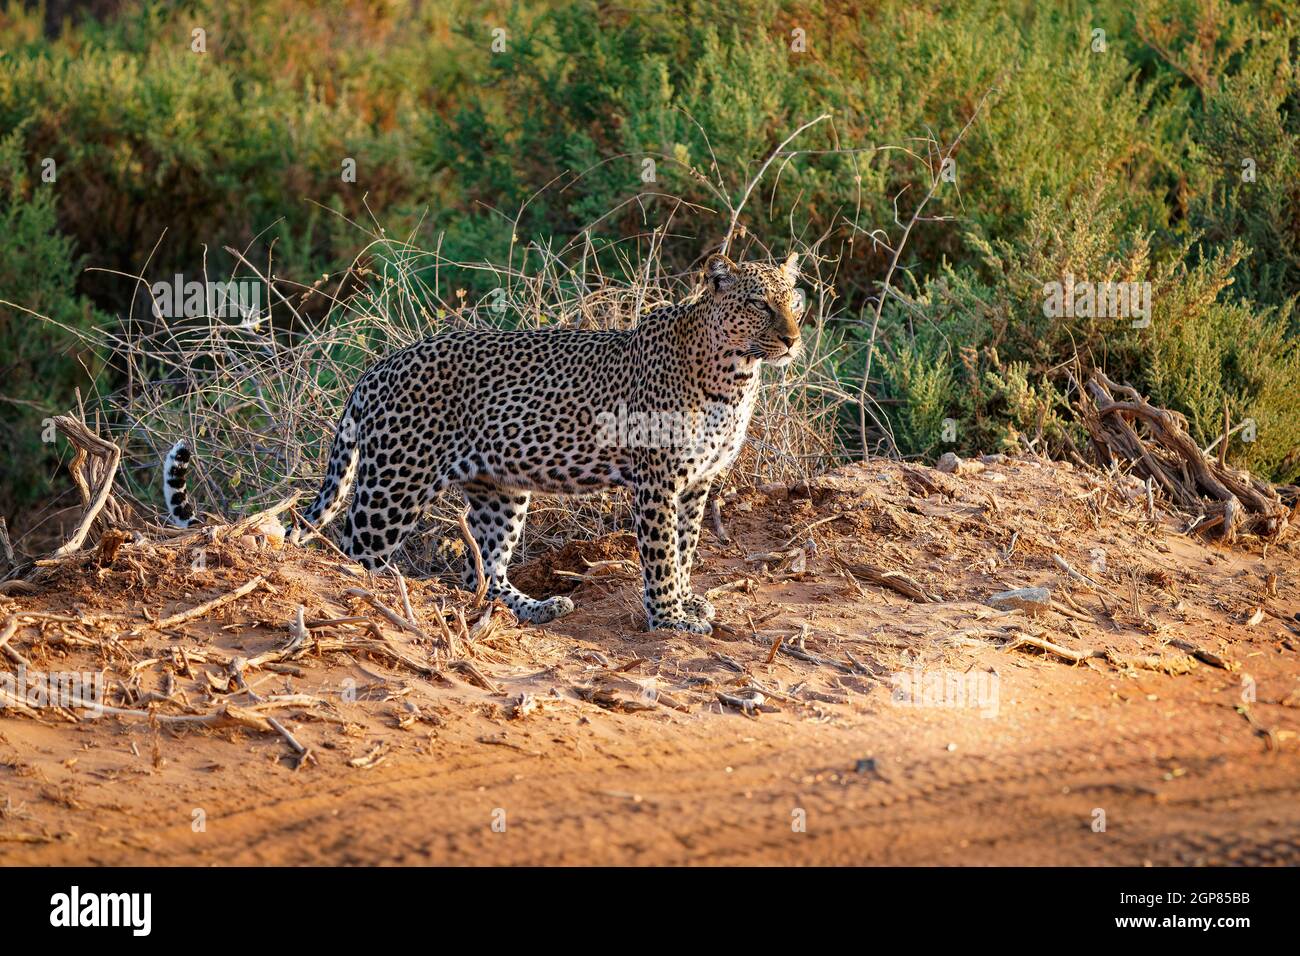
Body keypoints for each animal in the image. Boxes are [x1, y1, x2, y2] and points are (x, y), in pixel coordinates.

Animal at [170, 252, 800, 634]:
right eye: (757, 303)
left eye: (795, 299)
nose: (794, 338)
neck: (735, 376)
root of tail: (377, 366)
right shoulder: (657, 480)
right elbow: (663, 555)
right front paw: (670, 618)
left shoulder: (696, 482)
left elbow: (687, 547)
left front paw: (688, 600)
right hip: (394, 484)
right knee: (353, 549)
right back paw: (363, 601)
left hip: (500, 487)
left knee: (487, 570)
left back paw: (538, 607)